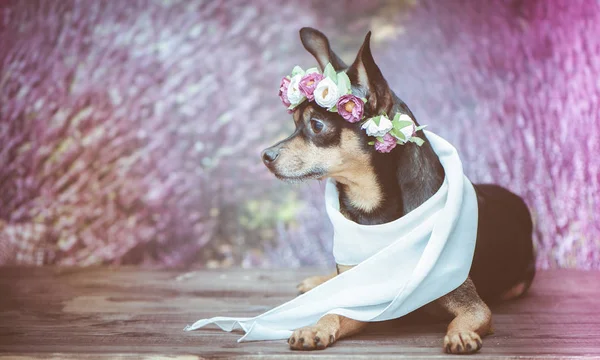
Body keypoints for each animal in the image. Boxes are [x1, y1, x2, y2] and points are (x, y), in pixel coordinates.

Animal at [262, 27, 536, 354]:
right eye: (294, 124)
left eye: (316, 125)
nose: (265, 156)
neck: (371, 212)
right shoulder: (360, 297)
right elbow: (333, 313)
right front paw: (315, 327)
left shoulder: (474, 306)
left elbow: (464, 319)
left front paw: (460, 334)